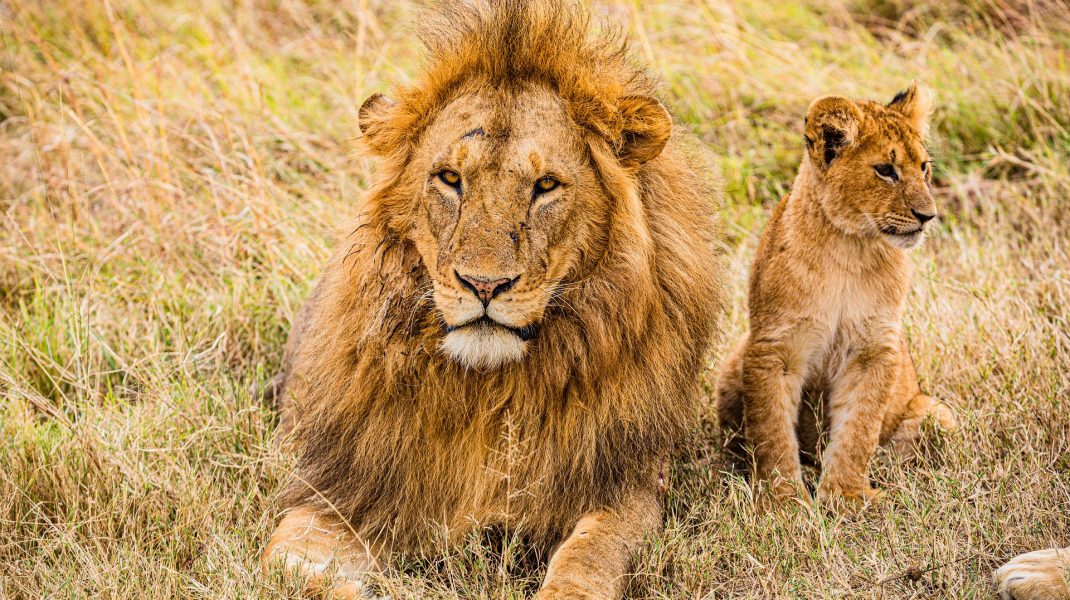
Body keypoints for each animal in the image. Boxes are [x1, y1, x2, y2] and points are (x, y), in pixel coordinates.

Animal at [262, 2, 723, 594]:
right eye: (449, 178)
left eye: (546, 185)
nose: (483, 285)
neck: (490, 393)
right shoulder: (341, 489)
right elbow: (289, 566)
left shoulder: (627, 485)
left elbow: (588, 558)